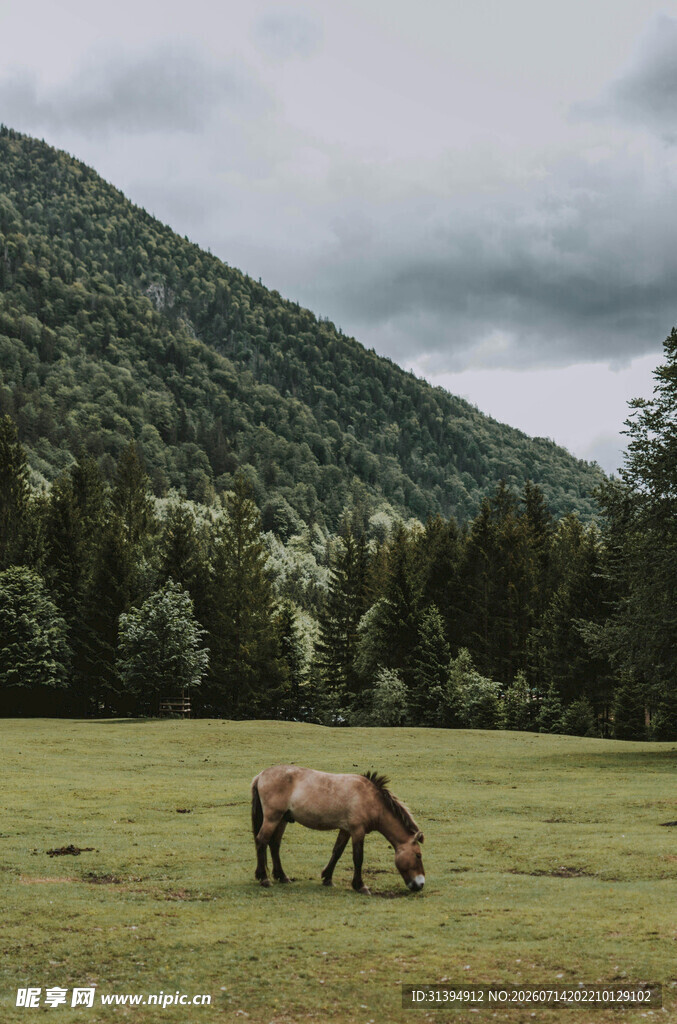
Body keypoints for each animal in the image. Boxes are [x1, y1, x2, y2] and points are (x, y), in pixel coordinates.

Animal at [251, 765, 425, 894]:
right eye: (418, 855)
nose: (421, 884)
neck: (370, 799)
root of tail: (261, 775)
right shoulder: (357, 831)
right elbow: (358, 858)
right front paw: (360, 886)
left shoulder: (346, 830)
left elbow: (337, 852)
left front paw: (327, 878)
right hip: (272, 818)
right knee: (261, 841)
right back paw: (264, 878)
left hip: (282, 819)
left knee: (274, 844)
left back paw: (282, 876)